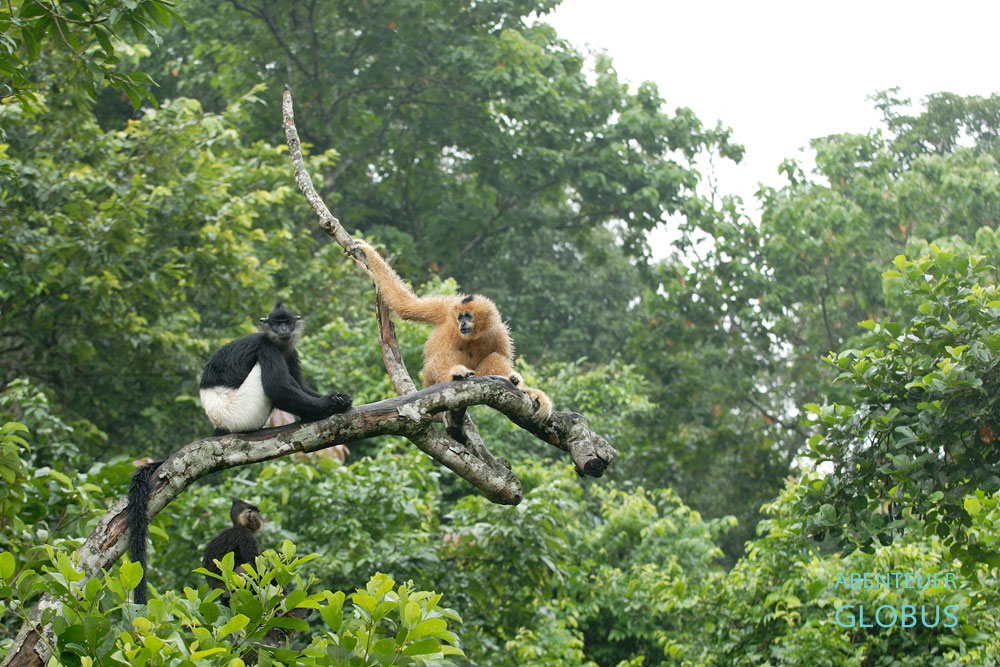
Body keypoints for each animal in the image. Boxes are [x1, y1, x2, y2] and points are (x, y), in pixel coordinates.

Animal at [199, 301, 352, 435]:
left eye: (287, 323)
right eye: (277, 324)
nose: (283, 329)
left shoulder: (292, 353)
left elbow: (301, 386)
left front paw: (340, 397)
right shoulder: (267, 348)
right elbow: (276, 388)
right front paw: (330, 402)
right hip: (241, 414)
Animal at [353, 241, 552, 421]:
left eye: (468, 316)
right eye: (460, 317)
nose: (462, 324)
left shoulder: (499, 332)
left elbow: (501, 358)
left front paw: (524, 388)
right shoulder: (446, 308)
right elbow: (406, 305)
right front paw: (368, 251)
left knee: (495, 358)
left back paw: (512, 380)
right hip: (431, 382)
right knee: (439, 358)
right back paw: (455, 374)